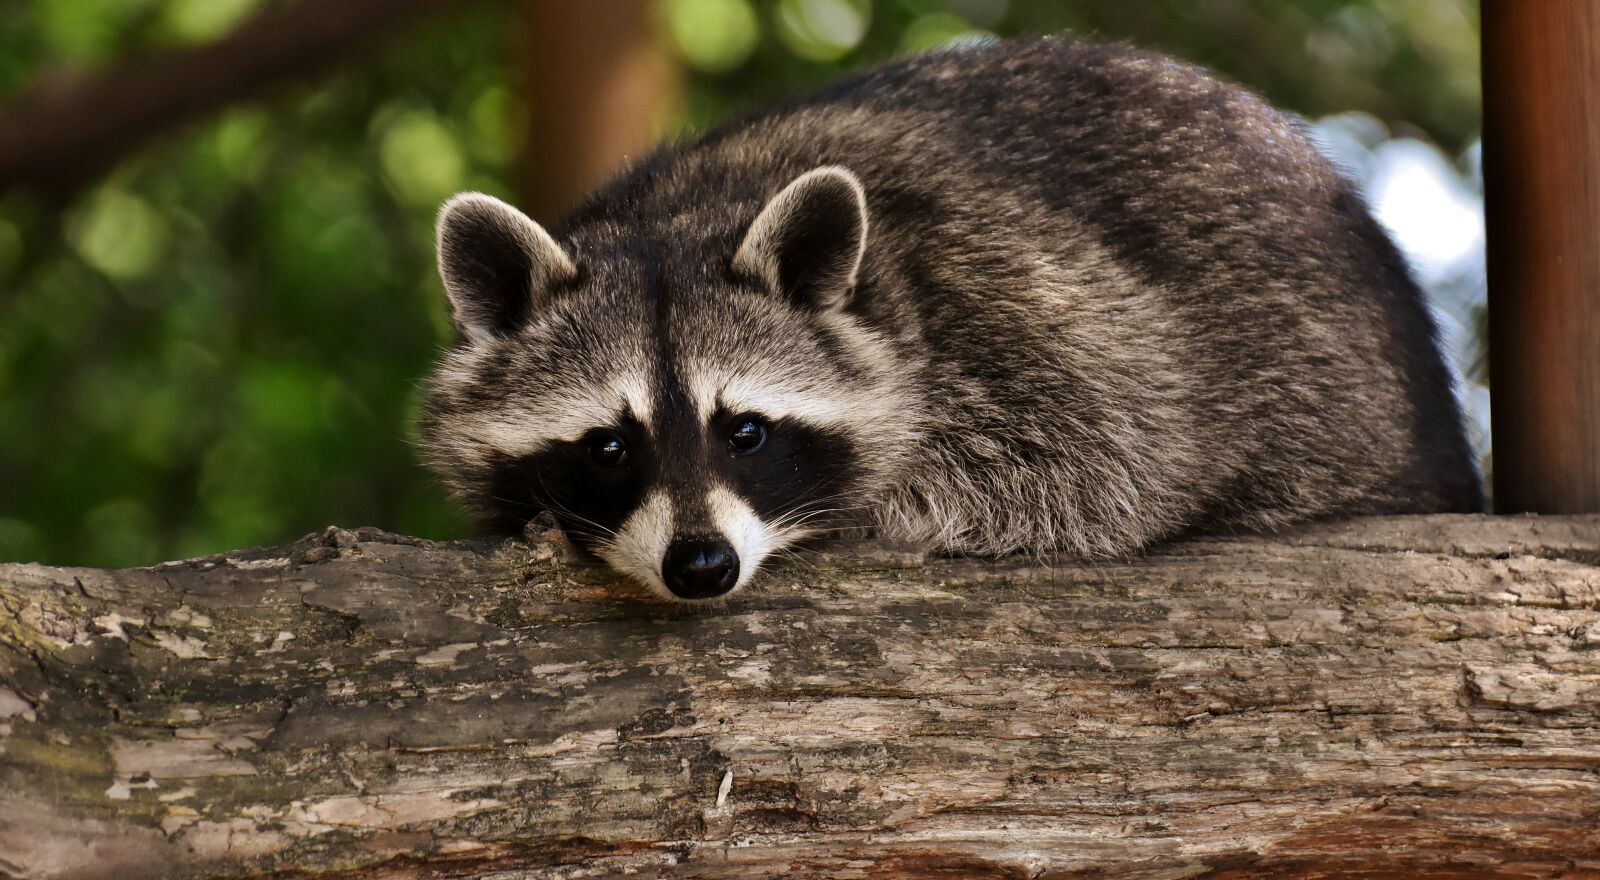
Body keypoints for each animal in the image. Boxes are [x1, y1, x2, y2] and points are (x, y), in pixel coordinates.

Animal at [421, 38, 1482, 601]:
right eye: (607, 446)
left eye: (747, 432)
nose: (703, 567)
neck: (681, 215)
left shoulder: (1027, 307)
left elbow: (1112, 461)